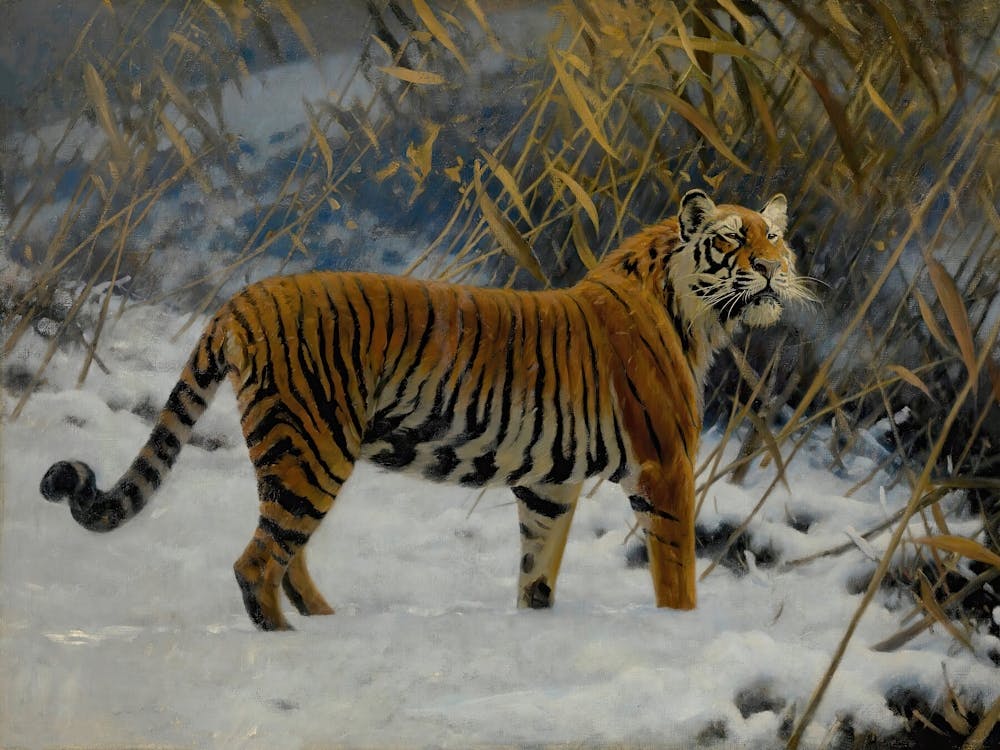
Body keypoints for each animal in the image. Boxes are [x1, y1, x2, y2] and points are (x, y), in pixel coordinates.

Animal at [40, 189, 808, 631]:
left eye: (775, 238)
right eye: (734, 239)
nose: (775, 270)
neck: (697, 315)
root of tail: (244, 297)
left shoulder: (550, 486)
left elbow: (536, 572)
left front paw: (534, 629)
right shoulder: (665, 466)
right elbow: (677, 576)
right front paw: (681, 632)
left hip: (295, 453)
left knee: (285, 552)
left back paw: (328, 623)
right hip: (313, 446)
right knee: (257, 562)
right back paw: (293, 642)